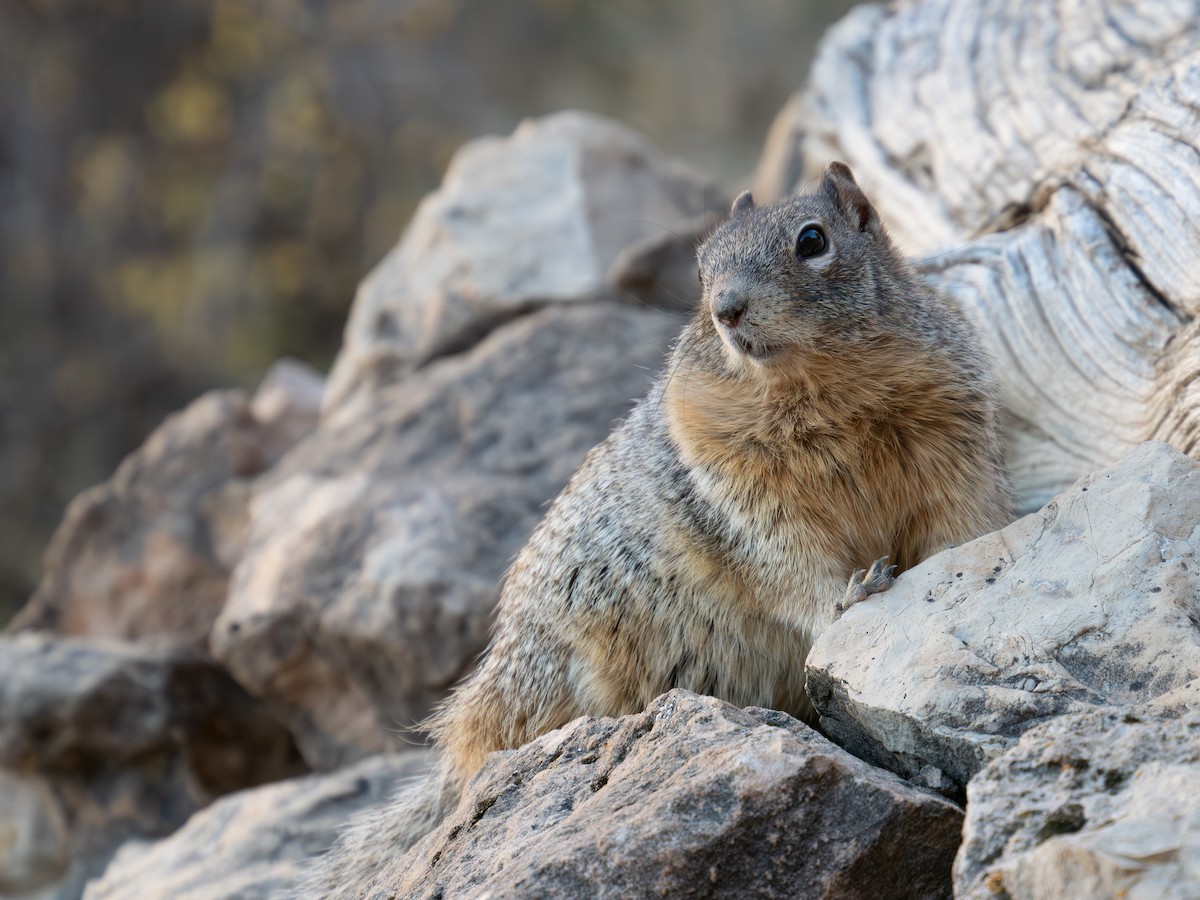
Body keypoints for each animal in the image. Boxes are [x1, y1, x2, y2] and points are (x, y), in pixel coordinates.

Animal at [304, 162, 1012, 896]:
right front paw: (852, 594)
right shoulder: (739, 489)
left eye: (813, 240)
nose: (727, 310)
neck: (818, 390)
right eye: (702, 265)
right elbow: (788, 562)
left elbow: (959, 519)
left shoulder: (951, 430)